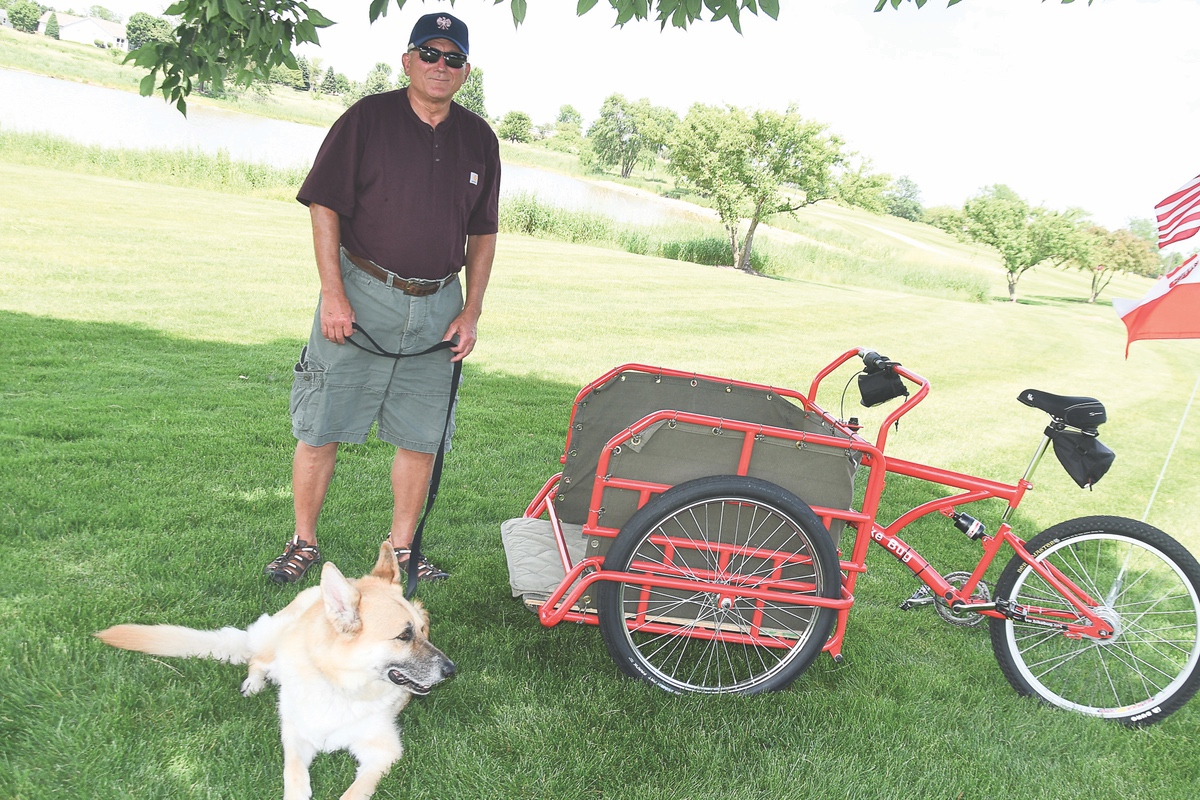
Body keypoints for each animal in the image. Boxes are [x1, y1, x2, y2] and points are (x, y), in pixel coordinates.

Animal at [94, 542, 453, 796]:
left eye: (424, 631)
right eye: (404, 635)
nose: (452, 669)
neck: (339, 685)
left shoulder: (382, 754)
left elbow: (353, 793)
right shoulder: (294, 737)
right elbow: (293, 776)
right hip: (276, 644)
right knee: (257, 659)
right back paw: (254, 684)